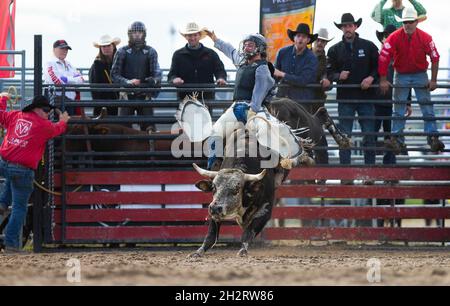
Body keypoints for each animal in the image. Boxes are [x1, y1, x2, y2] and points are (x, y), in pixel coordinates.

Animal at [188, 97, 350, 256]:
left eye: (236, 190)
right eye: (214, 188)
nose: (216, 208)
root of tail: (283, 101)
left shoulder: (266, 208)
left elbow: (249, 231)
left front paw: (243, 250)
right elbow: (212, 232)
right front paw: (200, 250)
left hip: (311, 127)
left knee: (321, 116)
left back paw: (341, 141)